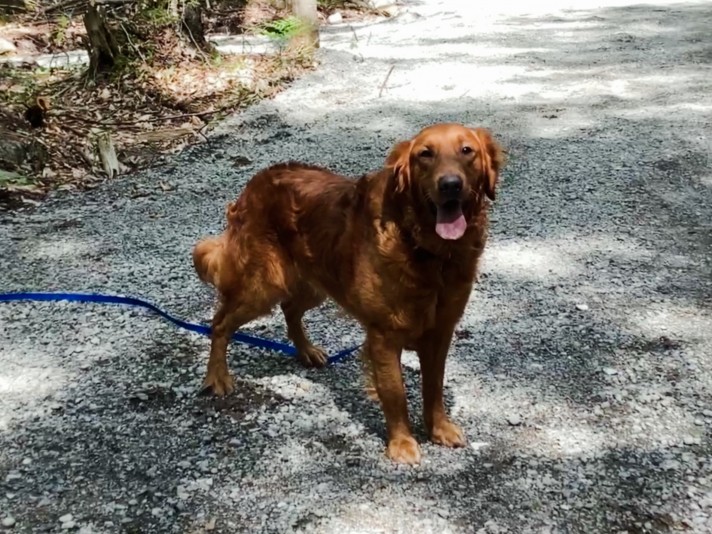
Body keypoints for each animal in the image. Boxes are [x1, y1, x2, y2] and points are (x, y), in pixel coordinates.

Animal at [193, 122, 506, 464]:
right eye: (425, 154)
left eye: (467, 151)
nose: (450, 185)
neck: (430, 252)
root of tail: (257, 180)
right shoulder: (384, 335)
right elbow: (395, 394)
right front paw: (402, 443)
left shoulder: (441, 331)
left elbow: (434, 386)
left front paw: (439, 429)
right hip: (262, 285)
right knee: (220, 323)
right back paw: (217, 377)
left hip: (316, 280)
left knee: (290, 309)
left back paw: (306, 351)